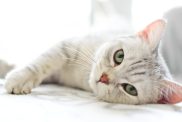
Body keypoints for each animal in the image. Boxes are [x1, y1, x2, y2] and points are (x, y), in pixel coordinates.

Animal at [2, 19, 182, 104]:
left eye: (130, 89)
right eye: (119, 56)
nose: (104, 78)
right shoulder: (67, 46)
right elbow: (43, 62)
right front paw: (19, 78)